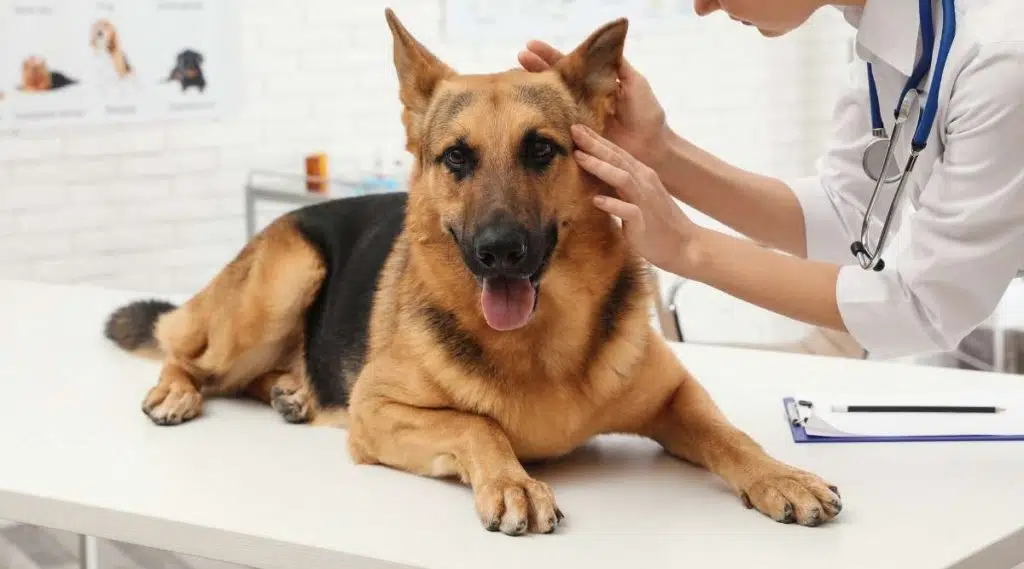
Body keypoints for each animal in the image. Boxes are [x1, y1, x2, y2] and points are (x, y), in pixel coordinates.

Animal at [103, 8, 839, 536]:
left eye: (541, 149)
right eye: (457, 158)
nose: (499, 250)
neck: (543, 344)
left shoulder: (677, 398)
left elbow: (731, 433)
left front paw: (781, 474)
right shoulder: (377, 409)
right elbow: (476, 424)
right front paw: (512, 481)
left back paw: (293, 392)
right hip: (286, 278)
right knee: (188, 354)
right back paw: (180, 392)